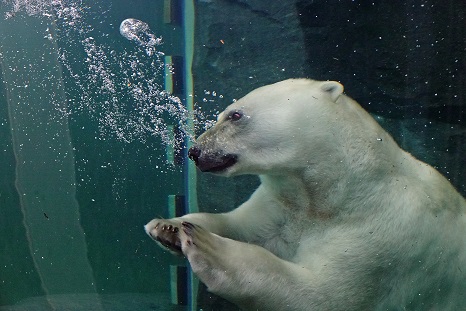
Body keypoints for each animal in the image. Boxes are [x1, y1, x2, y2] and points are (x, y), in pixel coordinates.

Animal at [144, 79, 464, 310]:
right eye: (224, 112)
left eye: (235, 115)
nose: (195, 151)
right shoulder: (283, 203)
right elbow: (241, 225)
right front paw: (167, 226)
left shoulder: (386, 234)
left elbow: (321, 294)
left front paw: (207, 245)